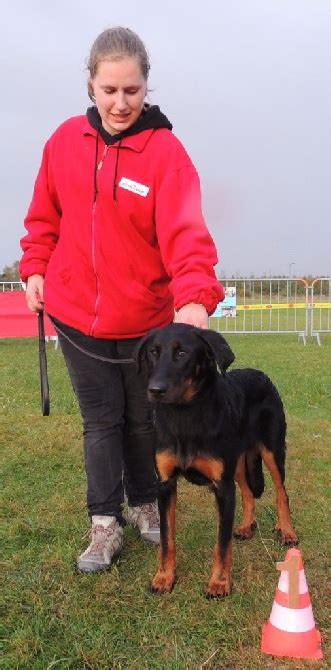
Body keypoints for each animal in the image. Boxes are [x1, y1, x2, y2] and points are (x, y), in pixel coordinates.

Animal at [135, 324, 298, 600]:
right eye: (153, 353)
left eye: (182, 353)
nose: (155, 391)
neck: (185, 416)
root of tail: (260, 374)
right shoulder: (166, 485)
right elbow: (167, 539)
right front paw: (164, 578)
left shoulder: (222, 488)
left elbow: (222, 543)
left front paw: (219, 583)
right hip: (238, 463)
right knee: (248, 492)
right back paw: (246, 527)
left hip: (272, 451)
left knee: (281, 493)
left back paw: (287, 531)